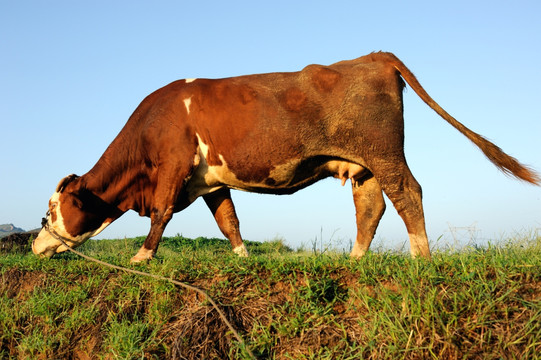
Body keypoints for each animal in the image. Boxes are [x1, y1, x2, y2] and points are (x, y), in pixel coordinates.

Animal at [30, 51, 540, 262]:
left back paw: (422, 258)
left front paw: (141, 257)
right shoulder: (210, 181)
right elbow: (228, 220)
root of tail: (373, 55)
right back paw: (354, 260)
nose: (35, 245)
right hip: (364, 165)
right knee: (371, 206)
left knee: (407, 193)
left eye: (50, 211)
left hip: (385, 153)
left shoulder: (172, 168)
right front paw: (241, 257)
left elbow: (160, 213)